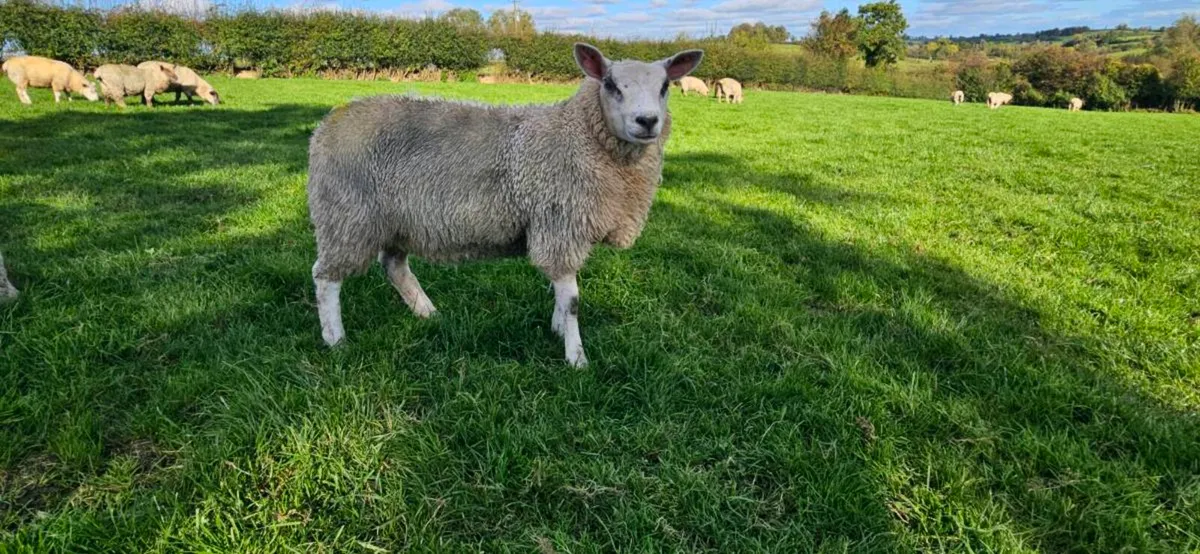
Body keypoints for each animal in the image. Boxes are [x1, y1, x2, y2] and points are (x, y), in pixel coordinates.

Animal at [306, 43, 703, 367]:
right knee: (326, 277)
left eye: (665, 87)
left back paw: (427, 313)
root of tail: (327, 125)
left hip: (395, 219)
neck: (579, 135)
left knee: (394, 266)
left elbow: (561, 292)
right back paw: (335, 339)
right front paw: (576, 357)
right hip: (346, 214)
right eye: (611, 85)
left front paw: (557, 329)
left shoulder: (563, 227)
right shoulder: (559, 222)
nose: (647, 121)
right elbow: (573, 299)